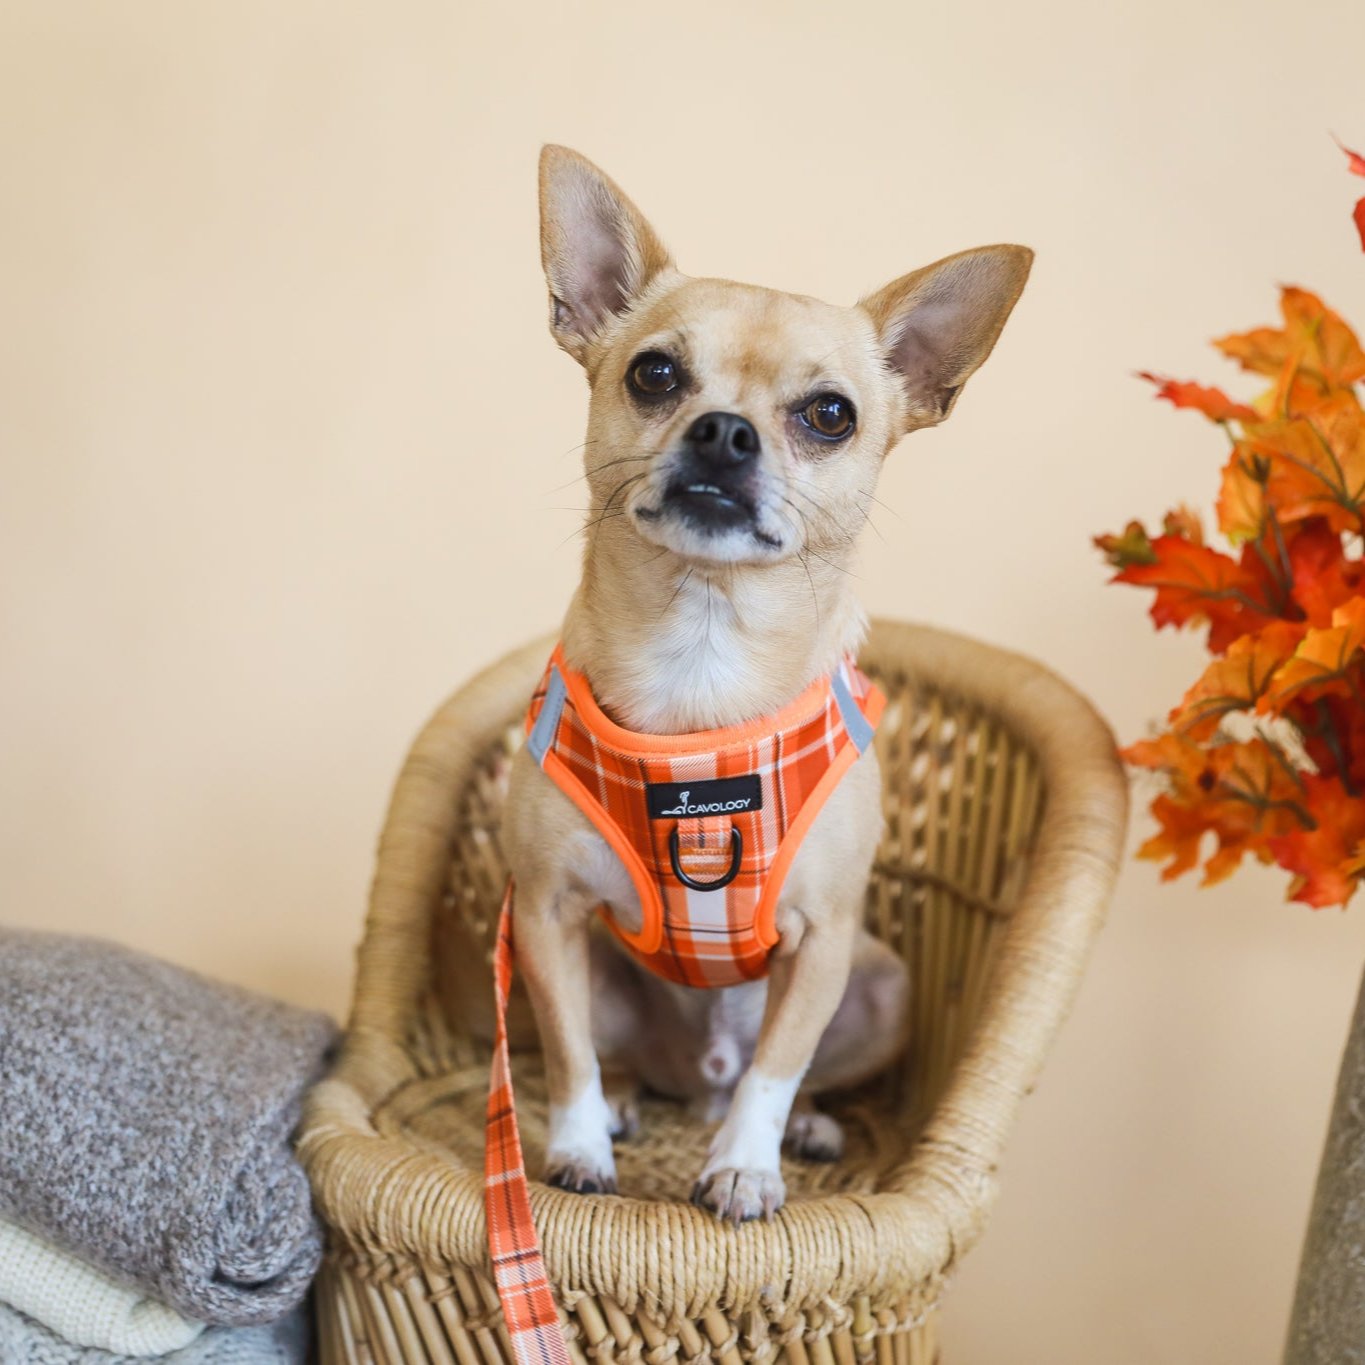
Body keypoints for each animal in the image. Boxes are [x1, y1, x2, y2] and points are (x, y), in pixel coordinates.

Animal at [505, 144, 1031, 1223]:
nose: (722, 432)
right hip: (605, 972)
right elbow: (566, 1052)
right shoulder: (544, 914)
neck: (701, 654)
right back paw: (628, 1102)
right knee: (616, 1052)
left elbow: (777, 1069)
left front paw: (747, 1163)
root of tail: (693, 1074)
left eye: (830, 415)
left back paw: (807, 1127)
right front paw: (578, 1143)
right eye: (654, 372)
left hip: (880, 985)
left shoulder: (822, 943)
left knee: (777, 1071)